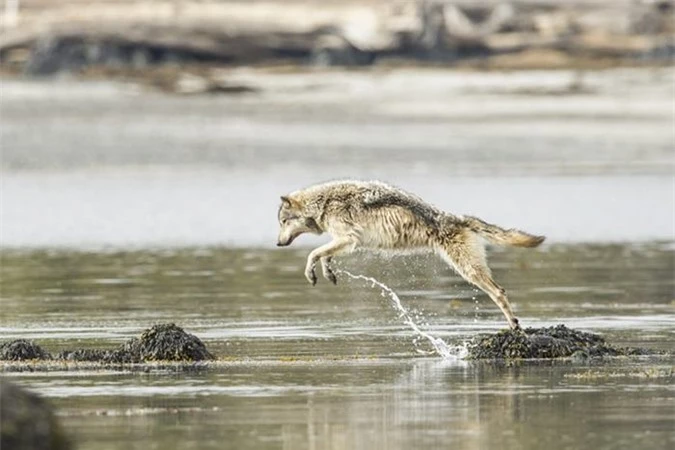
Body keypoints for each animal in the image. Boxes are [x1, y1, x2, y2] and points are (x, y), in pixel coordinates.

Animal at [278, 180, 548, 330]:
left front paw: (311, 273)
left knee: (499, 292)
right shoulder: (344, 242)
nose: (278, 243)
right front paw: (328, 273)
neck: (323, 202)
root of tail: (459, 218)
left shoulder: (348, 239)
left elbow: (312, 253)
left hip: (468, 270)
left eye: (282, 221)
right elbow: (324, 255)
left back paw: (513, 325)